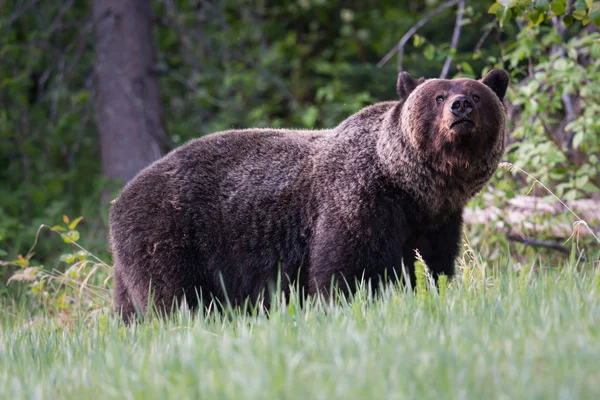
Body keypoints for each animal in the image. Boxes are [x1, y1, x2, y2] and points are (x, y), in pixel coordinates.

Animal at [110, 68, 508, 318]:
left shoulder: (438, 221)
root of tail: (120, 197)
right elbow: (345, 269)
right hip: (169, 234)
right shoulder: (359, 200)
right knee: (174, 297)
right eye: (438, 96)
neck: (412, 187)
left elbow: (434, 267)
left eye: (477, 94)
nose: (460, 106)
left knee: (130, 309)